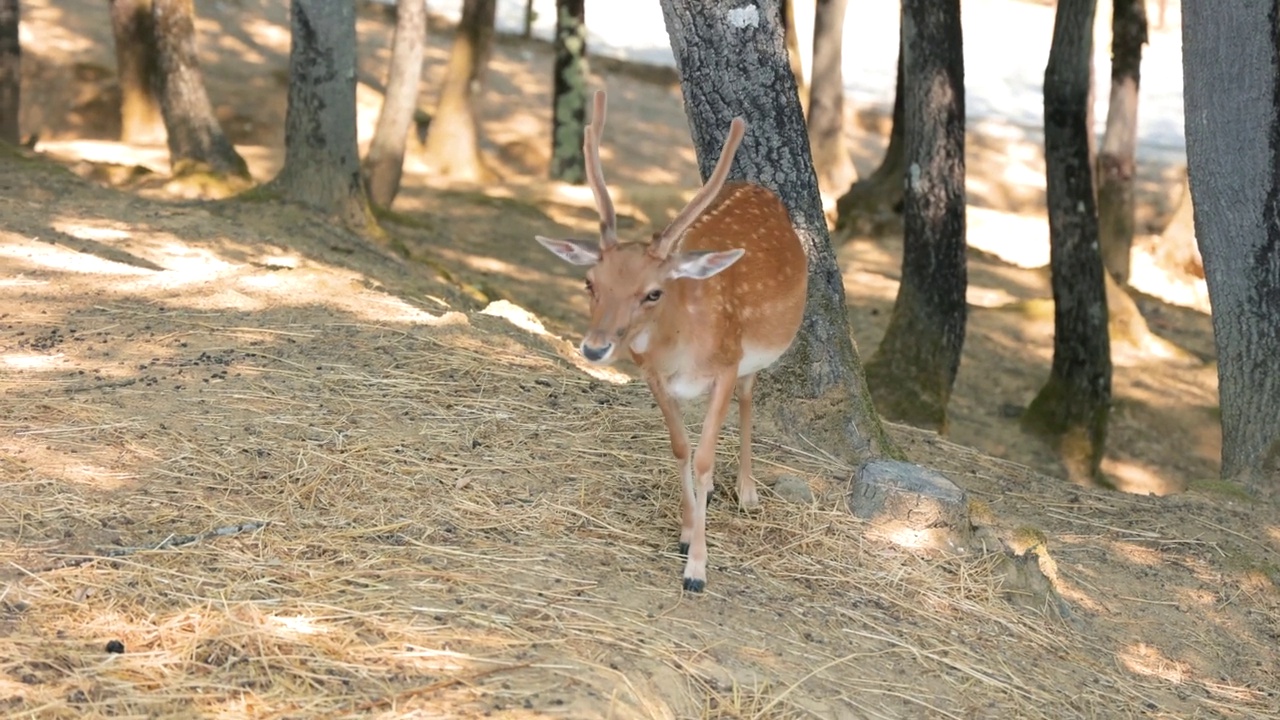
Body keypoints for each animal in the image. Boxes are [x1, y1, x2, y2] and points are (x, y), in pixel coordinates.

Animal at [535, 89, 803, 589]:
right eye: (589, 282)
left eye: (653, 292)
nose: (595, 347)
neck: (682, 349)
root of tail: (757, 186)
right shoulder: (654, 376)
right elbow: (682, 449)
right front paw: (684, 531)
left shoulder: (726, 363)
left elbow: (703, 457)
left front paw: (696, 568)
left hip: (753, 355)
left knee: (748, 398)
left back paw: (746, 491)